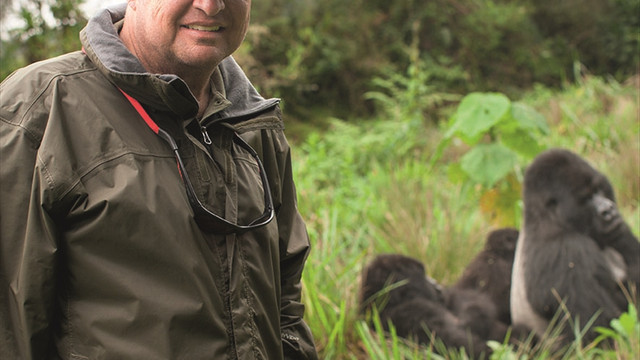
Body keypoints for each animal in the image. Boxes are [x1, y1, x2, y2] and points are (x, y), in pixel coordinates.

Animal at [510, 148, 640, 346]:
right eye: (585, 198)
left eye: (599, 189)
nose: (609, 210)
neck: (549, 219)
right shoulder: (567, 252)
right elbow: (597, 329)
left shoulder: (618, 230)